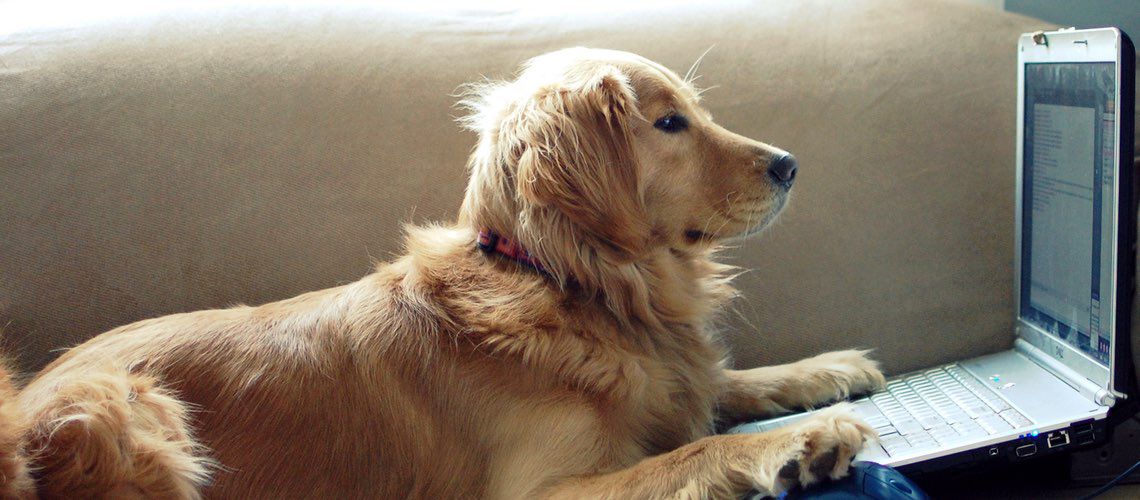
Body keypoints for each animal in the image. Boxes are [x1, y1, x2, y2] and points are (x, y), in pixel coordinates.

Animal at [0, 46, 884, 496]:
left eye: (696, 112)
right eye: (669, 123)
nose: (791, 164)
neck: (567, 283)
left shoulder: (671, 378)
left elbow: (724, 382)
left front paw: (827, 369)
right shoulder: (539, 491)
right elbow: (685, 456)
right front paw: (806, 440)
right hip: (117, 409)